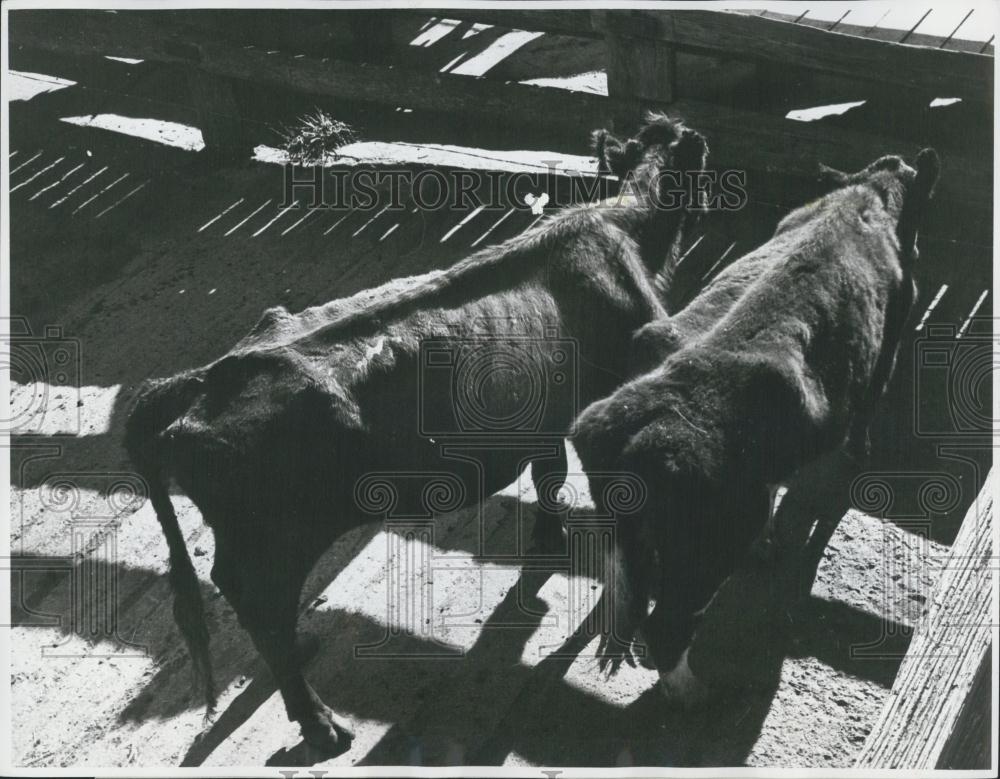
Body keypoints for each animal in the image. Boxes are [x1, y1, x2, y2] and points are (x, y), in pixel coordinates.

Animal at [125, 112, 712, 752]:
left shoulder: (544, 421)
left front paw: (549, 541)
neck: (621, 225)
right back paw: (320, 723)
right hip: (275, 543)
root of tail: (206, 377)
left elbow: (548, 473)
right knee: (263, 613)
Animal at [572, 149, 936, 696]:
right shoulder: (889, 344)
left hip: (627, 538)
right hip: (710, 548)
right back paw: (694, 692)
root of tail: (637, 428)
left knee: (623, 593)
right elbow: (864, 420)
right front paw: (859, 455)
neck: (864, 197)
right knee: (666, 625)